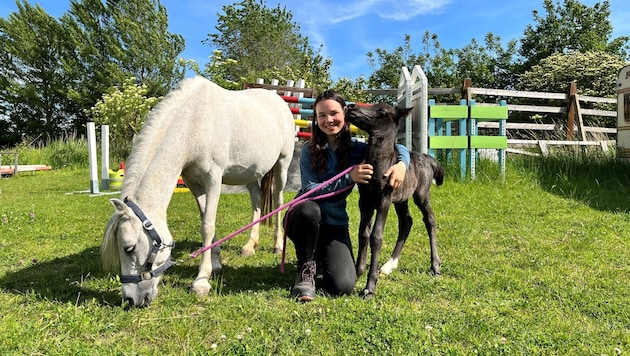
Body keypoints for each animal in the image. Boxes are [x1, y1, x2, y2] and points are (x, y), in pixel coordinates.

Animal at [100, 76, 296, 308]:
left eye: (128, 248)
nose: (131, 300)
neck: (194, 121)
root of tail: (278, 99)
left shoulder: (213, 179)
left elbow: (207, 227)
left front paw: (201, 281)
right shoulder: (193, 182)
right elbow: (206, 220)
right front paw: (216, 264)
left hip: (282, 165)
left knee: (278, 201)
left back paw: (277, 245)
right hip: (249, 173)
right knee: (256, 202)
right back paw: (250, 246)